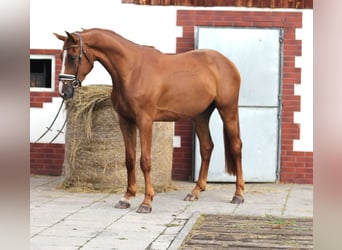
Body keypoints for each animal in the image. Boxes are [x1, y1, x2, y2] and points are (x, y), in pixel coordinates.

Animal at [54, 28, 244, 213]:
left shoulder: (144, 121)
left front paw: (147, 202)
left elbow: (145, 161)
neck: (132, 70)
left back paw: (238, 194)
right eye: (61, 55)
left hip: (228, 110)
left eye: (72, 56)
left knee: (236, 146)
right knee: (206, 147)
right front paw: (126, 197)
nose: (64, 92)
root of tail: (227, 62)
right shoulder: (125, 121)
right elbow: (130, 159)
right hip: (201, 116)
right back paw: (195, 191)